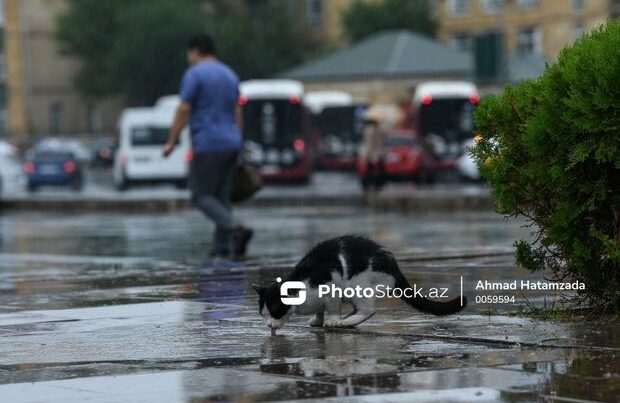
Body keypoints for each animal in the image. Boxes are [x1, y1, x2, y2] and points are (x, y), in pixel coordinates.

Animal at [252, 237, 464, 332]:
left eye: (275, 312)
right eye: (263, 315)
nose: (269, 325)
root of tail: (393, 263)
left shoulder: (331, 286)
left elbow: (331, 307)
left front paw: (331, 320)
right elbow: (319, 310)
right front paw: (318, 319)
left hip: (356, 284)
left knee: (368, 310)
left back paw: (344, 322)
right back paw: (346, 319)